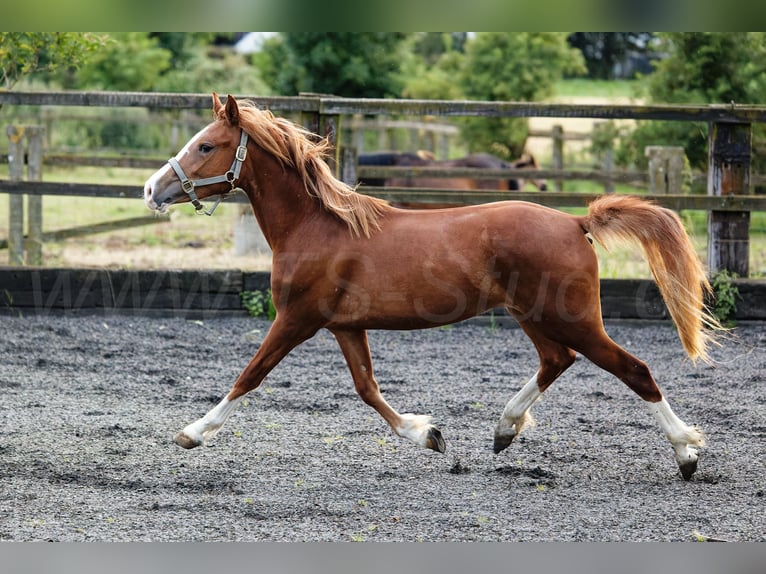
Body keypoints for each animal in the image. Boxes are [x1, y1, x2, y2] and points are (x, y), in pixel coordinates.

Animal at [144, 94, 720, 482]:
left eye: (206, 145)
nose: (151, 189)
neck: (317, 227)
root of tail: (576, 222)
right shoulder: (345, 326)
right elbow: (367, 389)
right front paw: (430, 435)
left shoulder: (296, 319)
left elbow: (250, 375)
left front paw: (192, 433)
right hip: (534, 315)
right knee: (557, 360)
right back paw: (504, 430)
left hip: (571, 318)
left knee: (634, 370)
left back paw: (687, 453)